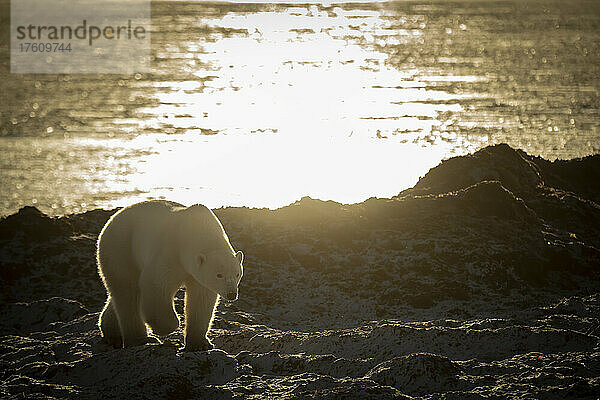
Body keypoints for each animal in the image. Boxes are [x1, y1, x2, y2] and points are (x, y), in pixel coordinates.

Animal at [97, 200, 243, 350]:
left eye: (237, 274)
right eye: (219, 275)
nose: (232, 294)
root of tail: (110, 221)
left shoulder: (197, 274)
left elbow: (201, 298)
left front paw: (200, 343)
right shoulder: (170, 251)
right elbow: (156, 284)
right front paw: (164, 327)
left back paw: (112, 333)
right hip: (122, 248)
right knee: (128, 291)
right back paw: (141, 339)